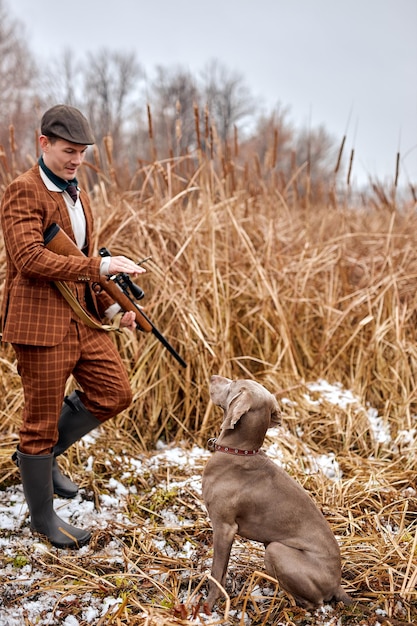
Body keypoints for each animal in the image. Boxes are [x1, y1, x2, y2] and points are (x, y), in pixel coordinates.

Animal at [200, 376, 350, 608]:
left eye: (233, 383)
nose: (212, 377)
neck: (240, 452)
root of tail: (337, 585)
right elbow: (222, 573)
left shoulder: (223, 527)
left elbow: (216, 573)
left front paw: (207, 606)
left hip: (276, 550)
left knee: (314, 603)